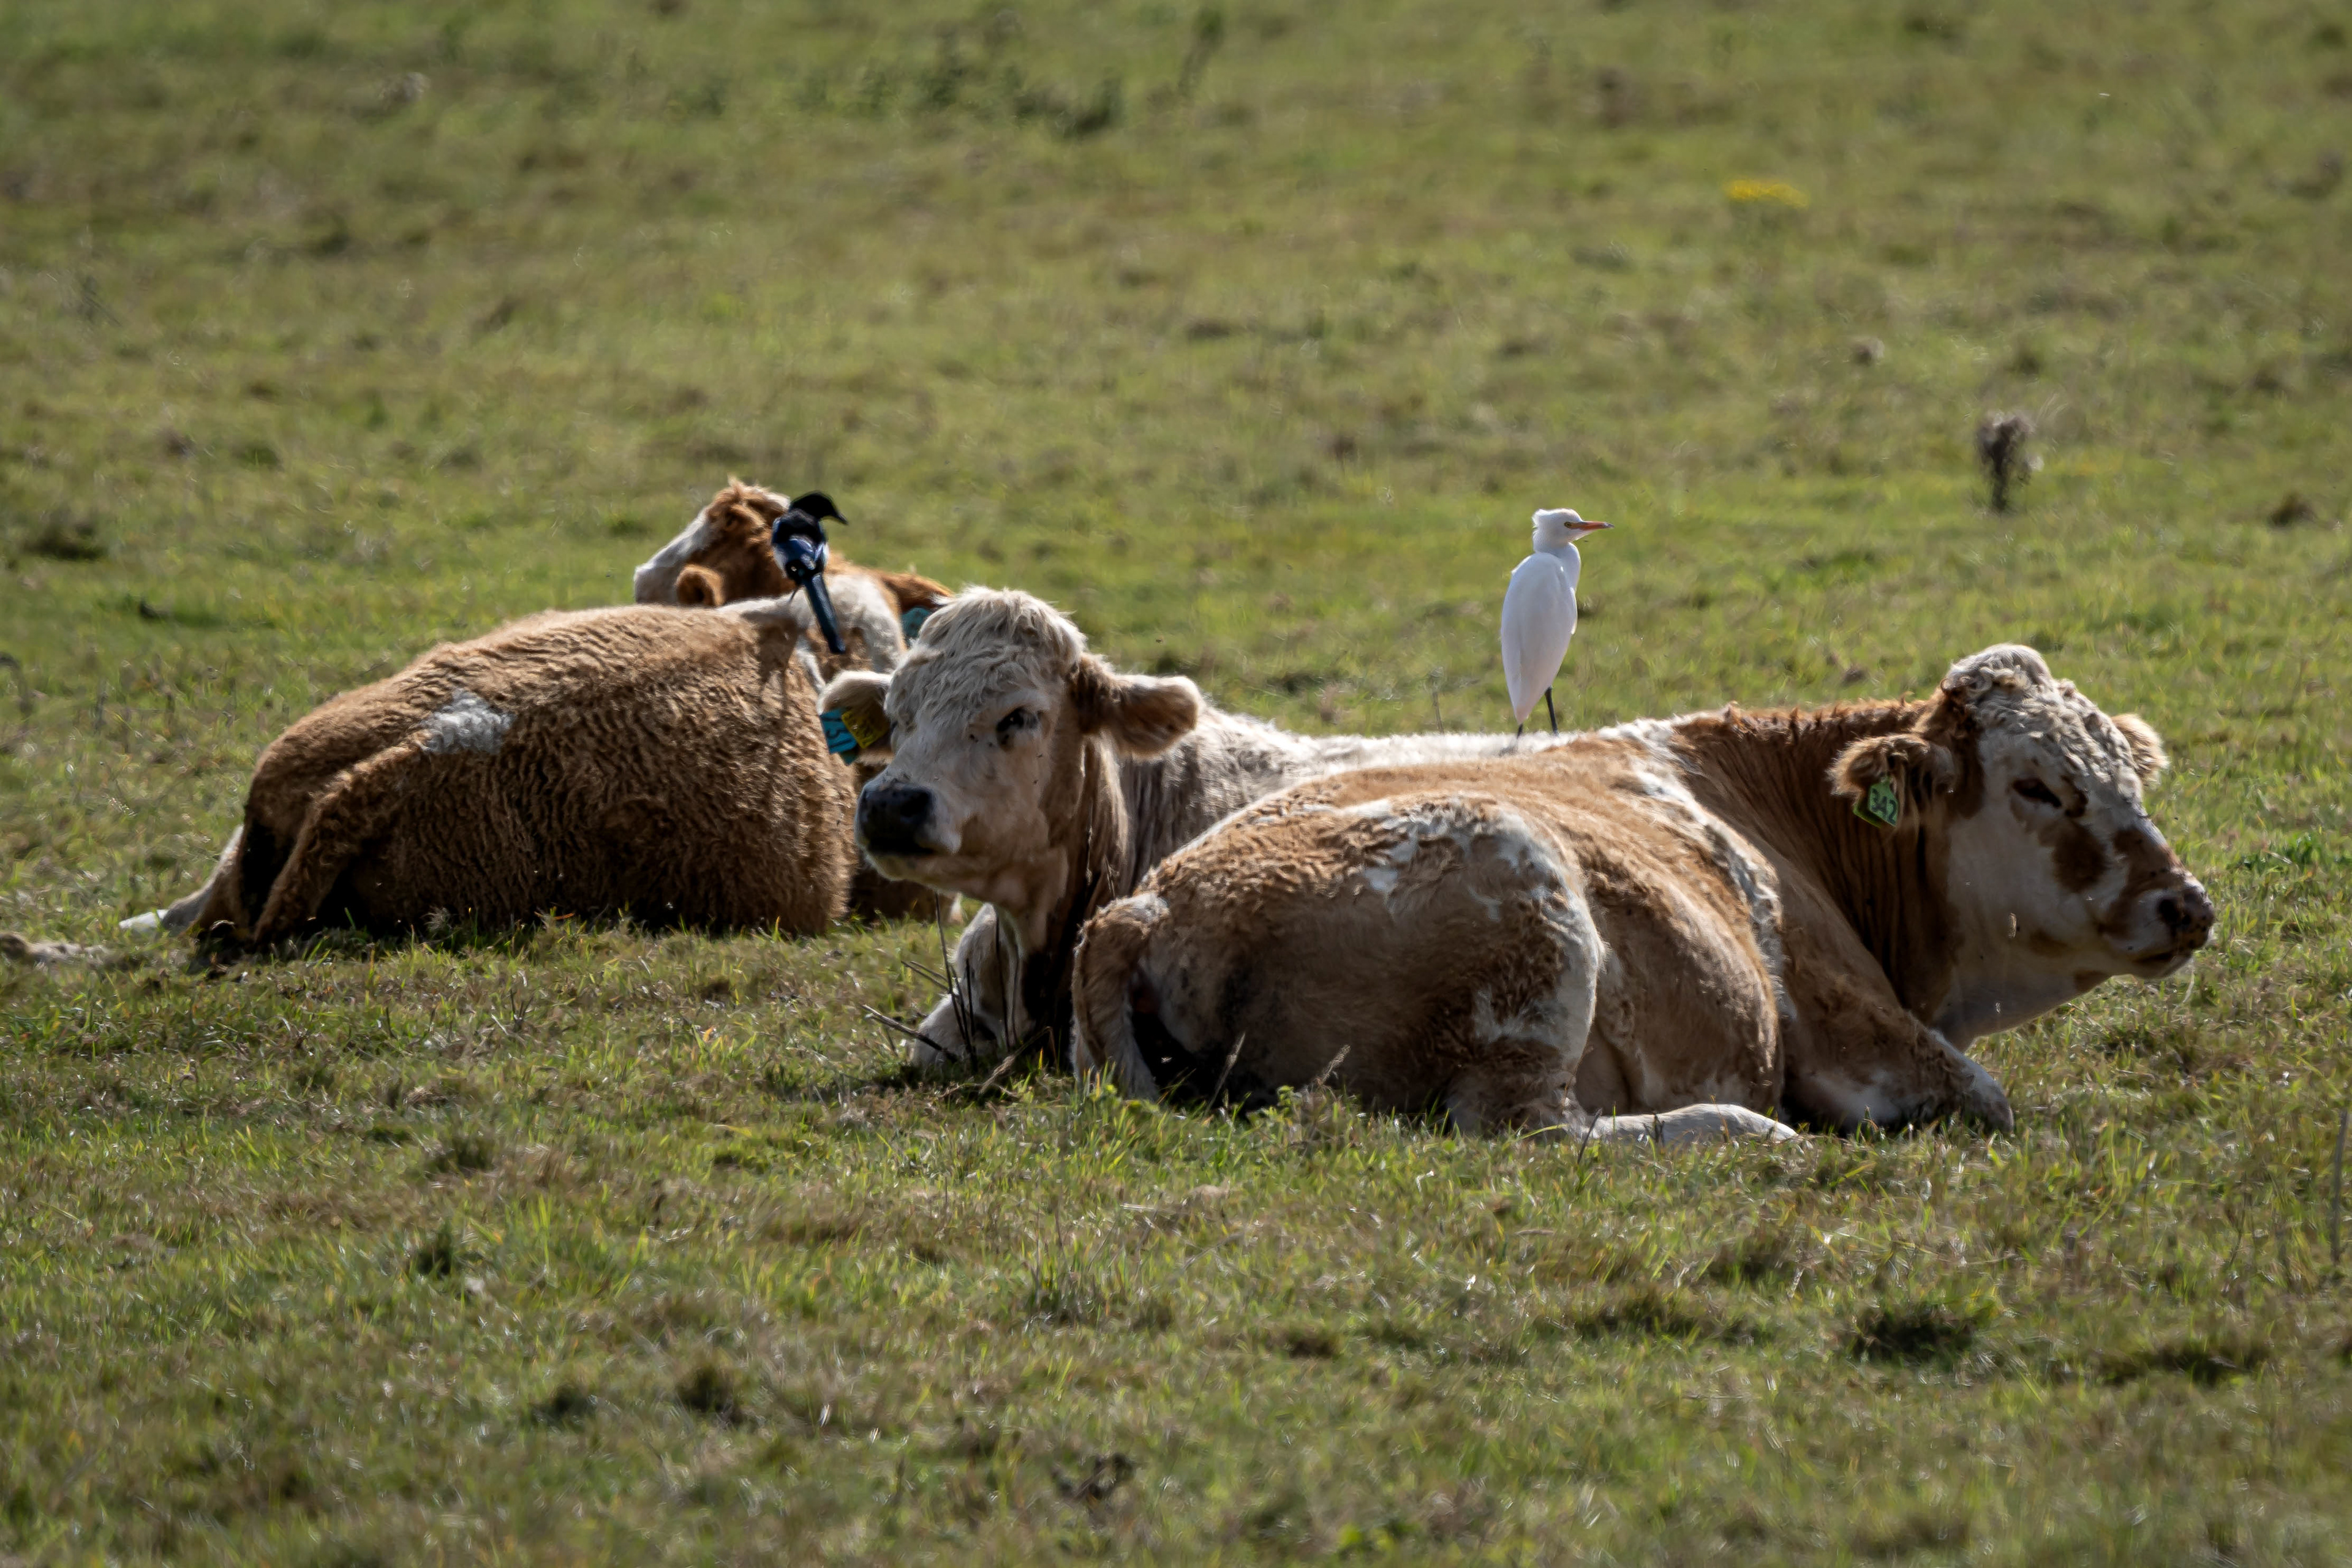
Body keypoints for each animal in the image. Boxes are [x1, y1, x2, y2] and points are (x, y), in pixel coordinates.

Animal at [1069, 645, 2215, 1143]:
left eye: (2129, 774)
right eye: (2038, 786)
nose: (2186, 904)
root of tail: (1149, 904)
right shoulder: (1848, 1018)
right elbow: (1982, 1097)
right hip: (1530, 925)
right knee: (1532, 1132)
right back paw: (1741, 1133)